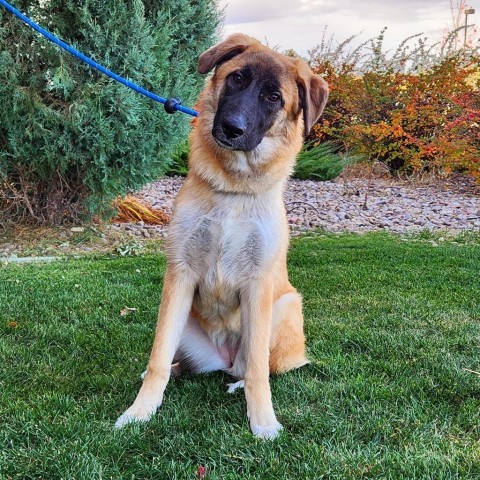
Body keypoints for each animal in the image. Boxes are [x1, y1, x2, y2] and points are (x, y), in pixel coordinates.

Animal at [114, 32, 328, 438]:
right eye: (236, 79)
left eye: (274, 97)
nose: (231, 128)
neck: (233, 190)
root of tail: (224, 359)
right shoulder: (180, 276)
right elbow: (158, 358)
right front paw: (140, 411)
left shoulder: (258, 286)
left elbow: (259, 370)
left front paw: (263, 422)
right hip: (181, 318)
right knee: (177, 360)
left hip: (284, 306)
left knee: (256, 366)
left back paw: (239, 382)